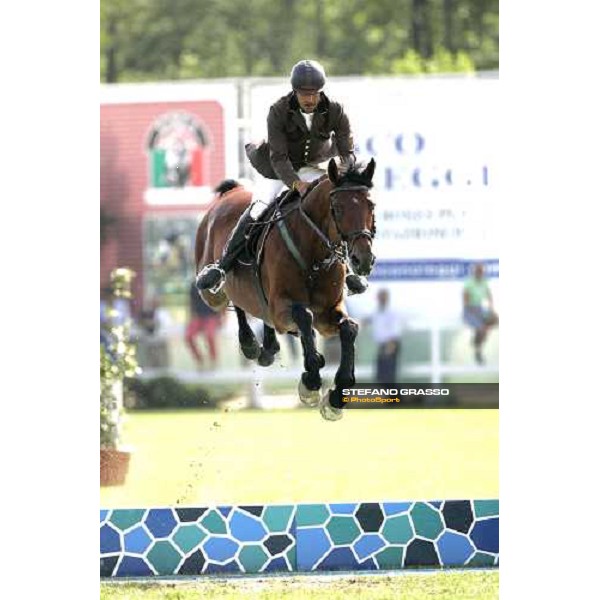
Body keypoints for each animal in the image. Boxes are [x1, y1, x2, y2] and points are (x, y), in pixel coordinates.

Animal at [196, 159, 376, 422]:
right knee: (233, 300)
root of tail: (230, 193)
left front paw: (336, 396)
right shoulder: (283, 308)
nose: (363, 260)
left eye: (371, 205)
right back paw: (250, 343)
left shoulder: (327, 313)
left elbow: (349, 328)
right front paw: (311, 383)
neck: (314, 255)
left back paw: (268, 348)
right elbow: (304, 316)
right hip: (212, 294)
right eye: (338, 208)